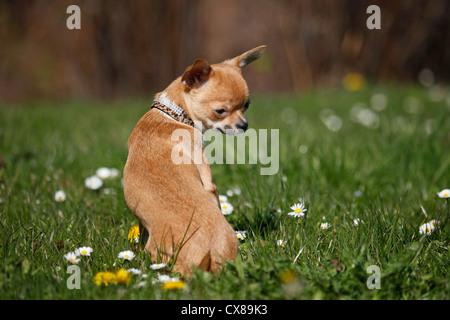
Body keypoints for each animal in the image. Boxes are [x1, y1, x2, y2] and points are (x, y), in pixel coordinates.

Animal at [123, 45, 266, 276]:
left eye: (246, 105)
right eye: (220, 111)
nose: (244, 125)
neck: (174, 115)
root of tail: (210, 255)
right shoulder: (206, 175)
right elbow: (211, 189)